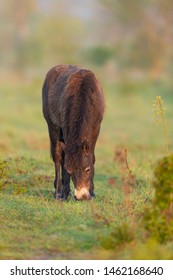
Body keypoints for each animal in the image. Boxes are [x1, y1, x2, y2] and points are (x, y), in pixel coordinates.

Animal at [42, 64, 104, 200]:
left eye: (87, 169)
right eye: (71, 171)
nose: (81, 196)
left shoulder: (96, 128)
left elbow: (92, 157)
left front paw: (92, 192)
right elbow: (63, 160)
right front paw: (64, 192)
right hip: (53, 127)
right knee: (58, 158)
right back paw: (59, 192)